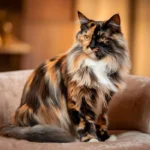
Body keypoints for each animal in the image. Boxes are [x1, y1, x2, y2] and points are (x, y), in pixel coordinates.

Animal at [0, 11, 130, 142]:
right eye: (86, 37)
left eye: (102, 38)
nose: (91, 46)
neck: (98, 64)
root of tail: (15, 125)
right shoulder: (79, 98)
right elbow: (85, 121)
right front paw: (91, 139)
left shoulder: (104, 99)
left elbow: (101, 119)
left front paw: (105, 138)